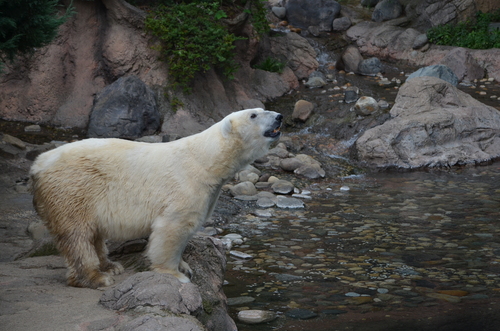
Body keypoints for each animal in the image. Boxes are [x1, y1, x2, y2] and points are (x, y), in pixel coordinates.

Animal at [30, 108, 282, 288]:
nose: (279, 117)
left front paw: (185, 265)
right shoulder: (185, 185)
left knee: (93, 233)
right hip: (73, 189)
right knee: (78, 236)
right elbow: (173, 228)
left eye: (262, 109)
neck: (205, 160)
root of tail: (37, 166)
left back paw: (110, 266)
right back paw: (96, 277)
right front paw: (176, 274)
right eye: (254, 114)